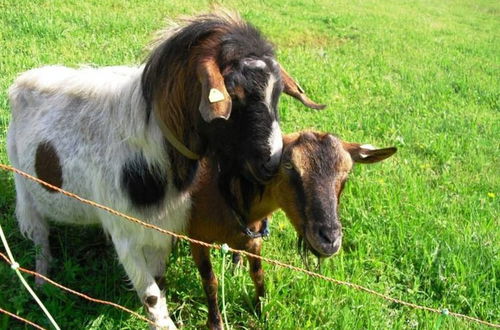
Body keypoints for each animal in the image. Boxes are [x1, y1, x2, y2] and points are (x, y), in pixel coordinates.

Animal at [5, 10, 322, 328]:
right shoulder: (124, 230)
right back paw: (42, 281)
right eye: (233, 91)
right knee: (39, 237)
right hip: (24, 187)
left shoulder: (162, 226)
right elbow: (151, 295)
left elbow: (159, 281)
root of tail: (23, 79)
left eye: (278, 93)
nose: (270, 162)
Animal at [188, 130, 398, 328]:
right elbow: (210, 282)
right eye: (289, 166)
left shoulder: (254, 238)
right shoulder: (197, 239)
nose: (330, 239)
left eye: (347, 172)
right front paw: (216, 323)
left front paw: (261, 310)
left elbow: (258, 275)